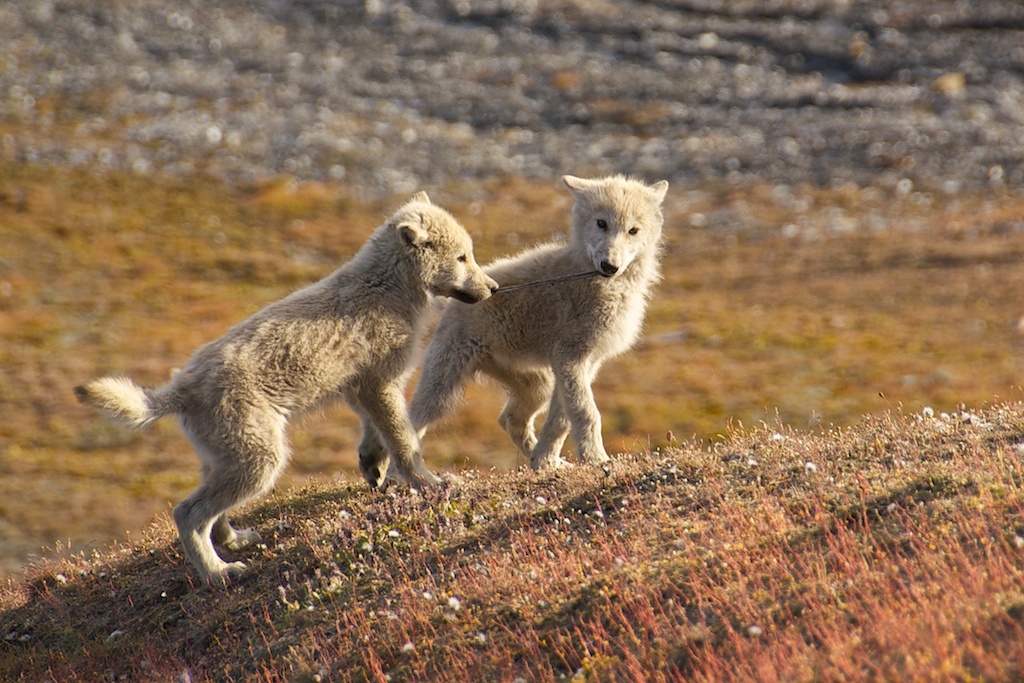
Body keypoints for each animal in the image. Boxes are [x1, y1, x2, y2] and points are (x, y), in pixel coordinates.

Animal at [74, 193, 498, 583]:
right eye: (462, 257)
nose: (494, 288)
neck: (386, 290)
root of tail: (180, 385)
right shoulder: (379, 382)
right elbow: (405, 440)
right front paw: (430, 483)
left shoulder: (362, 385)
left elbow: (378, 433)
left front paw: (373, 466)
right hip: (261, 458)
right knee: (188, 512)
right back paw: (218, 572)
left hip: (229, 455)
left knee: (211, 508)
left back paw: (235, 540)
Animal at [406, 175, 668, 471]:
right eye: (601, 223)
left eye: (633, 230)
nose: (609, 266)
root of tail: (452, 300)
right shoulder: (570, 357)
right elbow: (586, 412)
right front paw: (596, 459)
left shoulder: (584, 362)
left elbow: (561, 418)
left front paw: (546, 462)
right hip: (443, 390)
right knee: (412, 421)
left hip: (536, 385)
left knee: (510, 419)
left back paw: (542, 462)